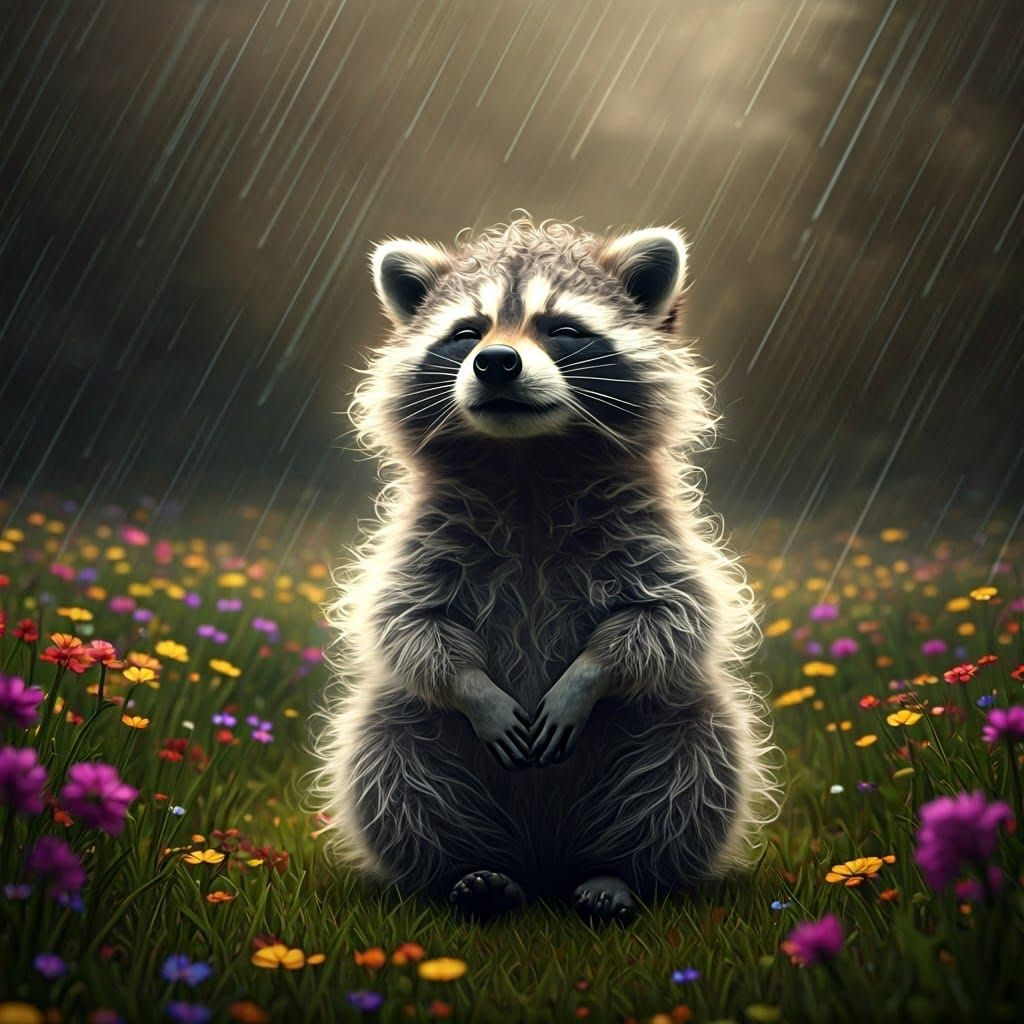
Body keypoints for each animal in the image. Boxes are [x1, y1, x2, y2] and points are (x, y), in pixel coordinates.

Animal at [312, 217, 781, 925]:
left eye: (561, 327)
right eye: (468, 332)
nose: (496, 362)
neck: (527, 462)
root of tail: (545, 860)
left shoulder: (653, 531)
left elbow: (670, 615)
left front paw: (587, 675)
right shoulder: (422, 537)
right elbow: (407, 623)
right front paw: (473, 687)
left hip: (676, 723)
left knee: (694, 762)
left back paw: (623, 875)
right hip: (407, 734)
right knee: (388, 763)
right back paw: (468, 874)